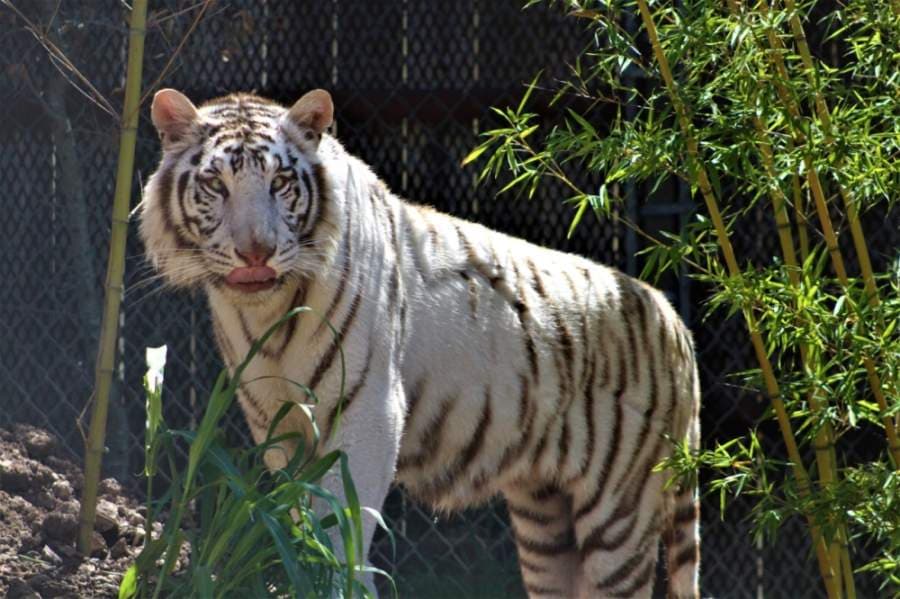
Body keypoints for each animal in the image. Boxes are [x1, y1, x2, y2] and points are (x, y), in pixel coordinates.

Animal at [139, 87, 701, 599]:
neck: (269, 313)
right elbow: (299, 513)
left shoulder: (367, 411)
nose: (256, 251)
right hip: (545, 515)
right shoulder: (275, 423)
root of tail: (672, 316)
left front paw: (340, 581)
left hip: (619, 511)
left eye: (279, 182)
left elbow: (343, 518)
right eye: (216, 184)